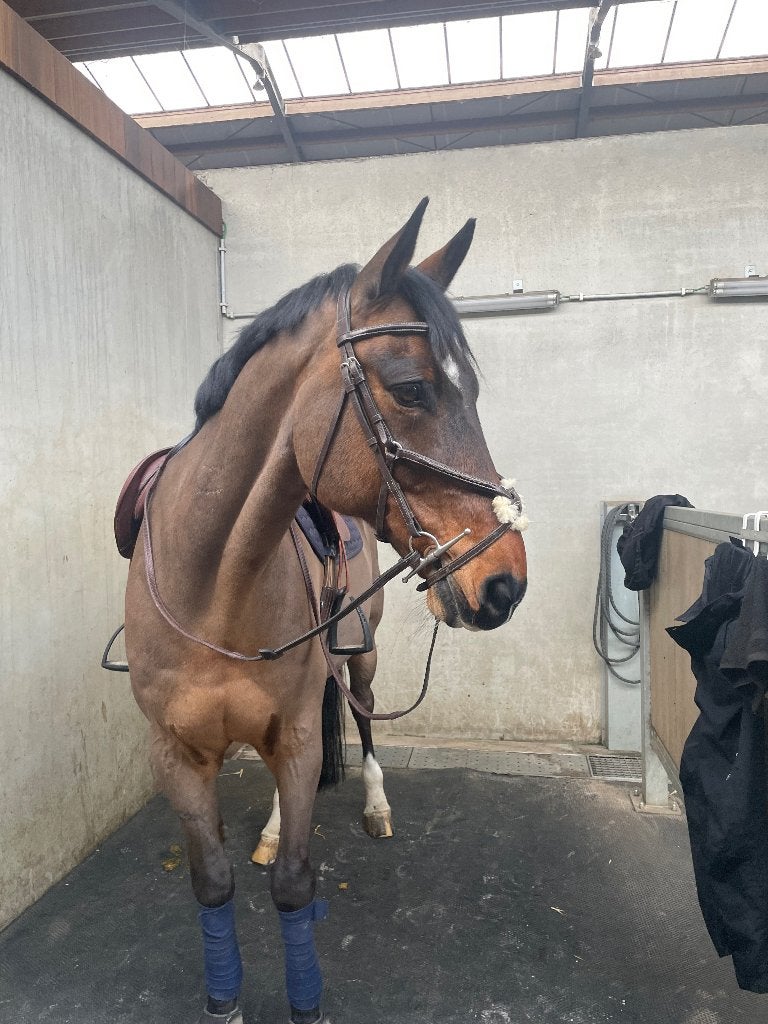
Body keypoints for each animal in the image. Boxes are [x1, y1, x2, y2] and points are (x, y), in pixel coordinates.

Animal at [123, 197, 528, 1024]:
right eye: (411, 389)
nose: (506, 582)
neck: (211, 586)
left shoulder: (301, 732)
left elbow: (294, 887)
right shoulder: (177, 754)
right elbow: (213, 883)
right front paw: (225, 1002)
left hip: (359, 657)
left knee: (366, 717)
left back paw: (374, 804)